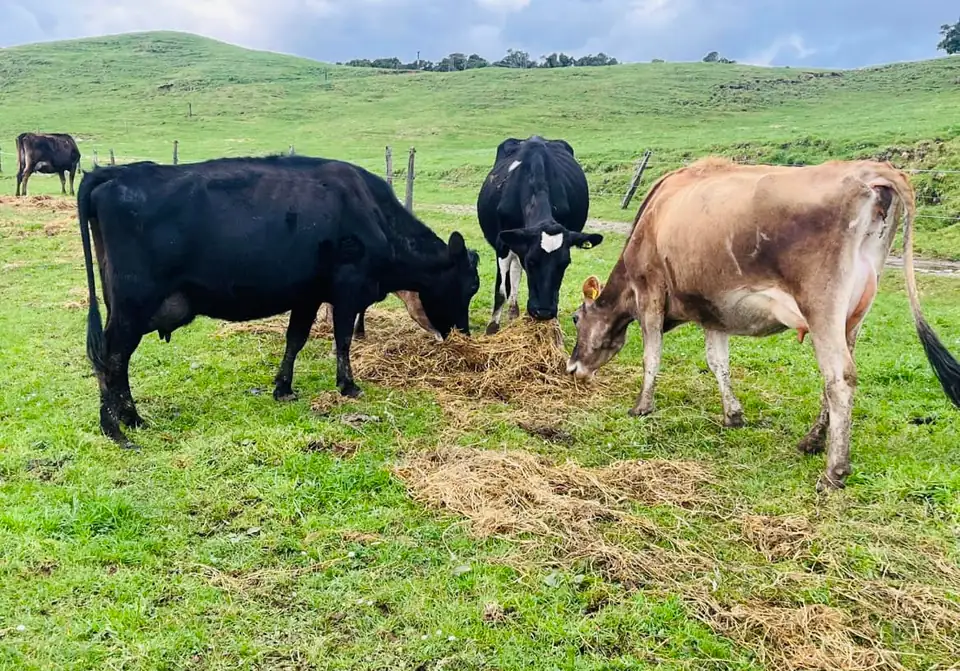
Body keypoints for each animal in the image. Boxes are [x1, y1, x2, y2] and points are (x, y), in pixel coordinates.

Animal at [77, 155, 481, 450]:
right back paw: (117, 427)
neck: (372, 214)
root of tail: (112, 173)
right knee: (111, 356)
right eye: (472, 284)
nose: (464, 334)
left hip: (122, 305)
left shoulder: (308, 294)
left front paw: (283, 388)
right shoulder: (348, 287)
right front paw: (348, 385)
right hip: (134, 303)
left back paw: (129, 419)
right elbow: (342, 340)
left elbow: (295, 339)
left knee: (115, 360)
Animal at [477, 135, 603, 335]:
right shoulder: (502, 244)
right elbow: (501, 290)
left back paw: (514, 313)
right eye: (531, 262)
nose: (543, 312)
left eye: (565, 264)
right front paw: (492, 327)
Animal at [565, 157, 960, 491]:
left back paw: (833, 471)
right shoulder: (713, 308)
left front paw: (642, 407)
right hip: (855, 312)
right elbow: (718, 362)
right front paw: (733, 415)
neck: (654, 216)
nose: (571, 368)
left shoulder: (650, 291)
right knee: (837, 375)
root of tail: (871, 169)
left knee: (839, 377)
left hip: (821, 306)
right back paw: (812, 441)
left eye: (576, 317)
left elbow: (652, 356)